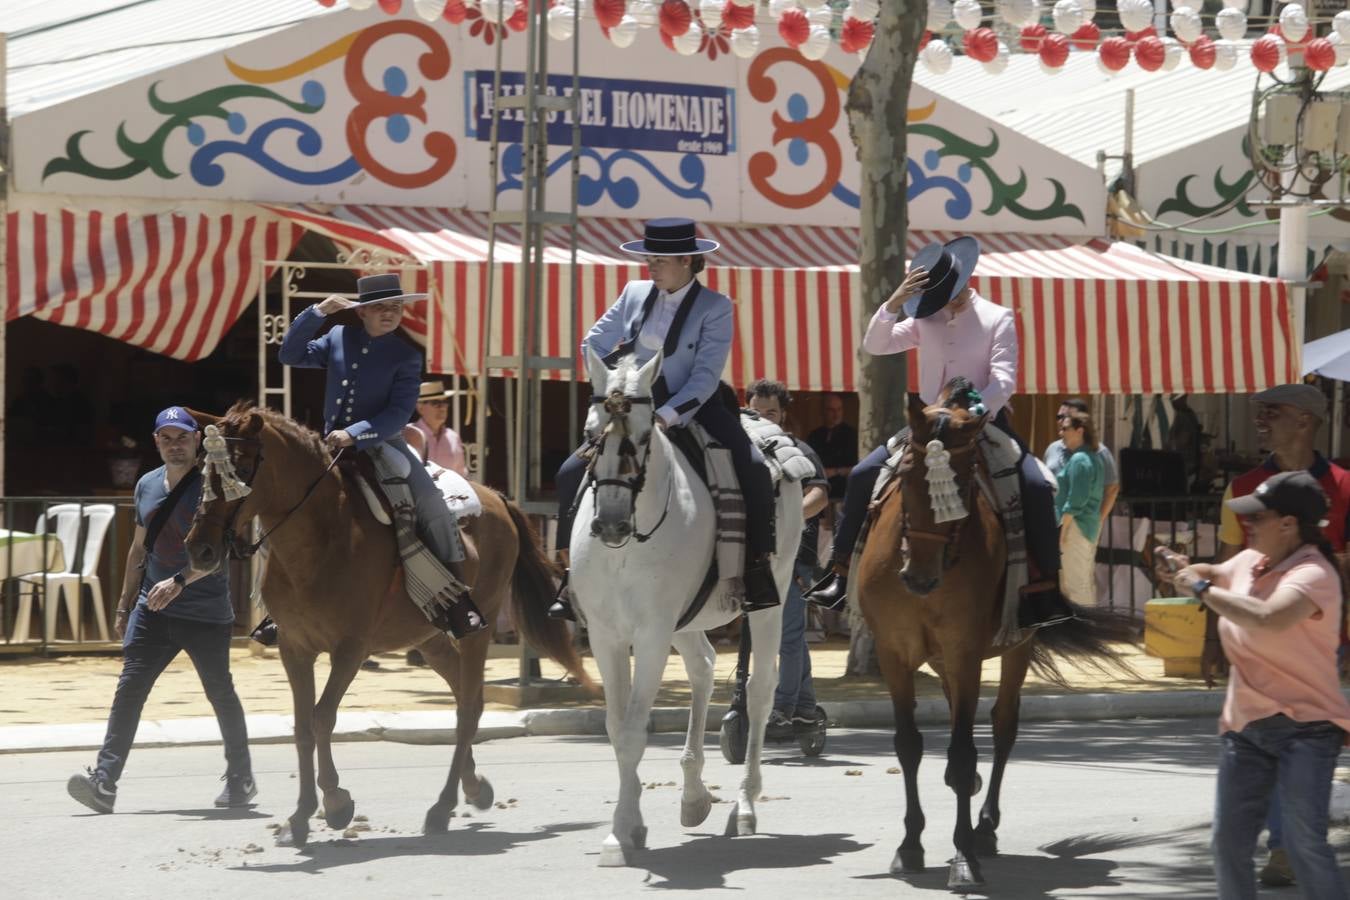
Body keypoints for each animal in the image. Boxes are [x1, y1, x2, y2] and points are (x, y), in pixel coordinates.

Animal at [182, 404, 588, 847]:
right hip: (429, 638)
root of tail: (495, 496)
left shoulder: (350, 649)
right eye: (202, 469)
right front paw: (300, 816)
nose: (200, 550)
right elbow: (302, 726)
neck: (320, 538)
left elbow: (322, 718)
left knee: (467, 709)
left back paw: (442, 807)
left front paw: (336, 803)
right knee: (466, 695)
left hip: (477, 628)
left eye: (238, 469)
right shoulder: (295, 648)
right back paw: (475, 787)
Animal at [569, 348, 799, 863]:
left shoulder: (652, 634)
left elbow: (633, 731)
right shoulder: (606, 635)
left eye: (641, 435)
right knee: (703, 669)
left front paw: (621, 831)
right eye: (591, 435)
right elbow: (615, 727)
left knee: (760, 689)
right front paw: (630, 827)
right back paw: (694, 796)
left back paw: (745, 806)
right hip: (686, 621)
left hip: (770, 600)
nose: (609, 524)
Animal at [853, 383, 1139, 890]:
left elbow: (965, 751)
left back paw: (983, 826)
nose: (919, 578)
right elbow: (909, 746)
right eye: (905, 476)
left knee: (1003, 727)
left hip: (1015, 647)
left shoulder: (965, 652)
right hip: (943, 660)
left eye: (964, 484)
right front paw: (910, 845)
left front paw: (964, 855)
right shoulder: (894, 654)